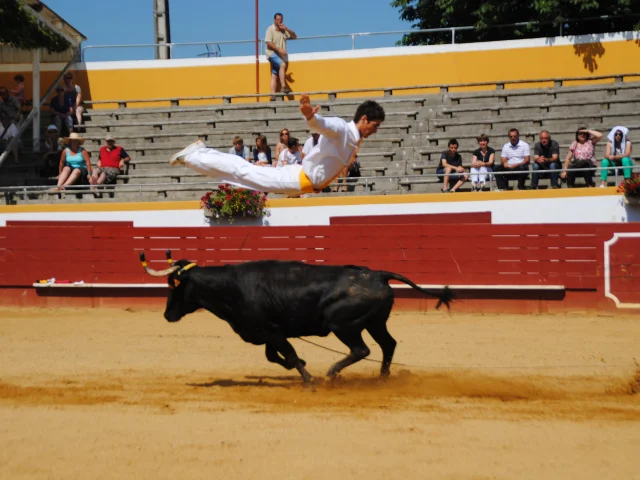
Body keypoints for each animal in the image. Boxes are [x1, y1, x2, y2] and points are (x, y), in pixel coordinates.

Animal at [140, 251, 452, 382]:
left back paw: (332, 373)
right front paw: (300, 365)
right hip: (375, 322)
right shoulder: (267, 333)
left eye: (174, 286)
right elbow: (274, 356)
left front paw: (308, 378)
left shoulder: (273, 331)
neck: (232, 286)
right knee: (388, 344)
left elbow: (286, 353)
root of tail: (377, 274)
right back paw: (383, 377)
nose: (167, 314)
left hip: (343, 324)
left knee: (361, 349)